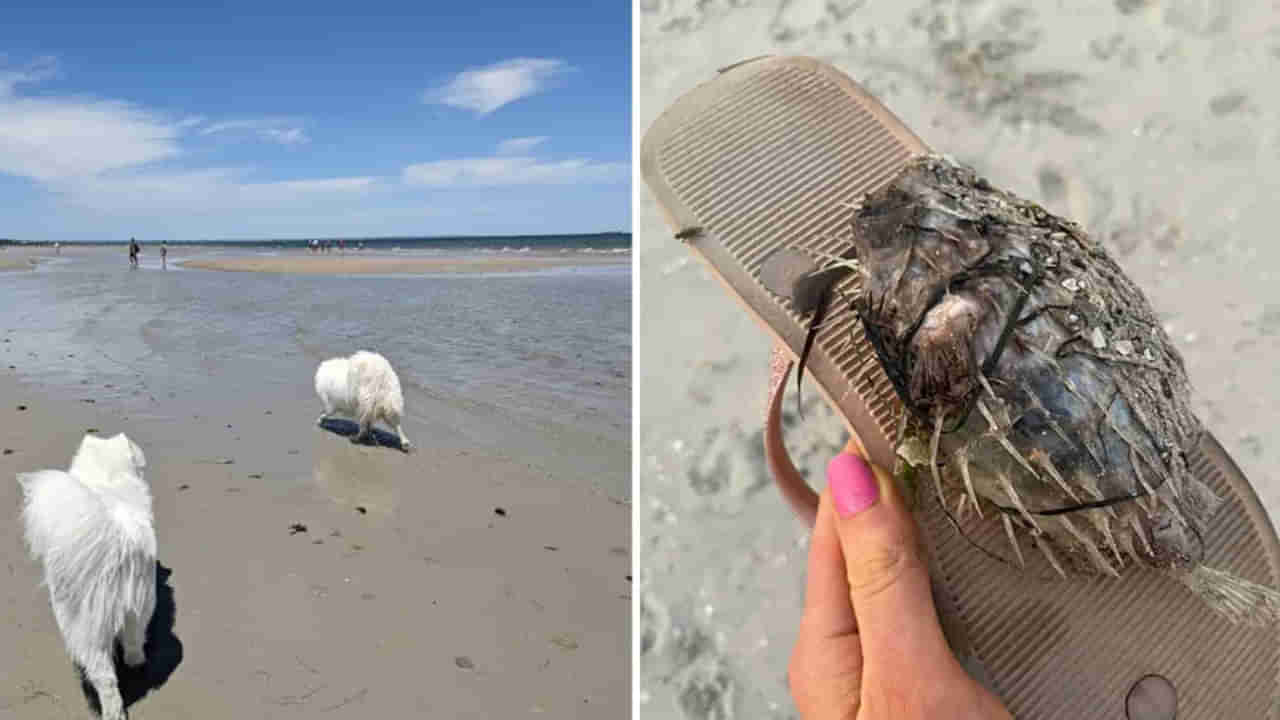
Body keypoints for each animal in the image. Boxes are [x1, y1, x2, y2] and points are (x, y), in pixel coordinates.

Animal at [18, 430, 156, 717]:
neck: (108, 476)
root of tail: (117, 537)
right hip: (140, 604)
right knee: (133, 643)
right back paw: (134, 667)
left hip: (83, 621)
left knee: (104, 676)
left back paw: (112, 710)